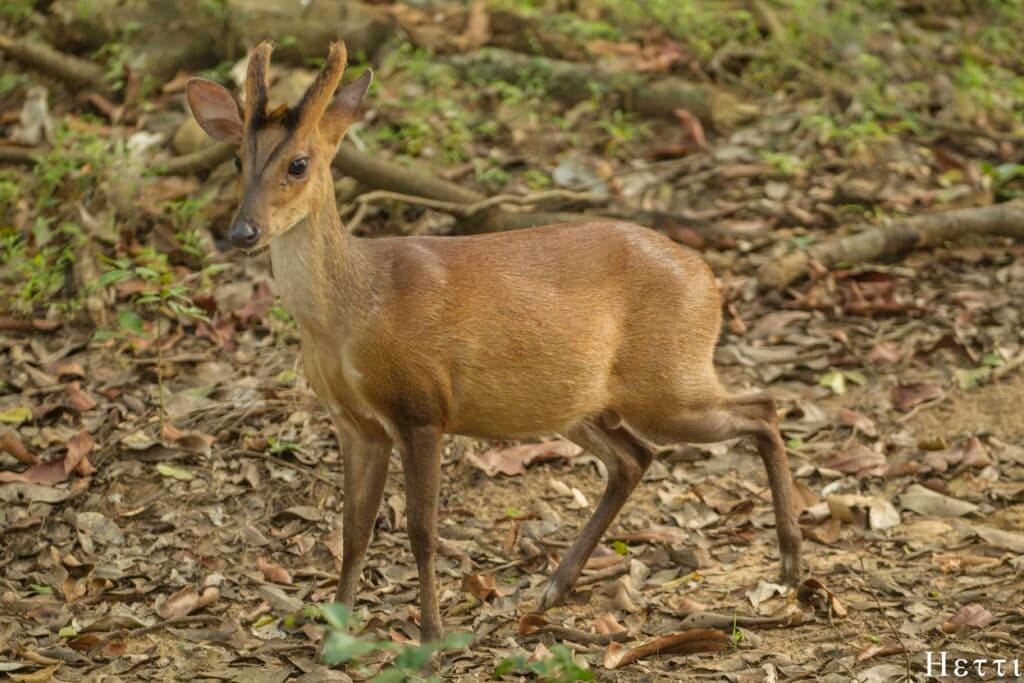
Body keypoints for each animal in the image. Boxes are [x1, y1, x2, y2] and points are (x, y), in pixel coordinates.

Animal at [186, 41, 802, 646]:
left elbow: (421, 530)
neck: (352, 314)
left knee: (762, 409)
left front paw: (431, 640)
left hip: (668, 378)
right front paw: (333, 637)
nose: (242, 232)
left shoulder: (421, 407)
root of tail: (710, 280)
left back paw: (792, 563)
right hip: (578, 402)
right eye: (238, 160)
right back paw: (554, 588)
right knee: (636, 457)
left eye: (298, 163)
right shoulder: (355, 423)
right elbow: (353, 528)